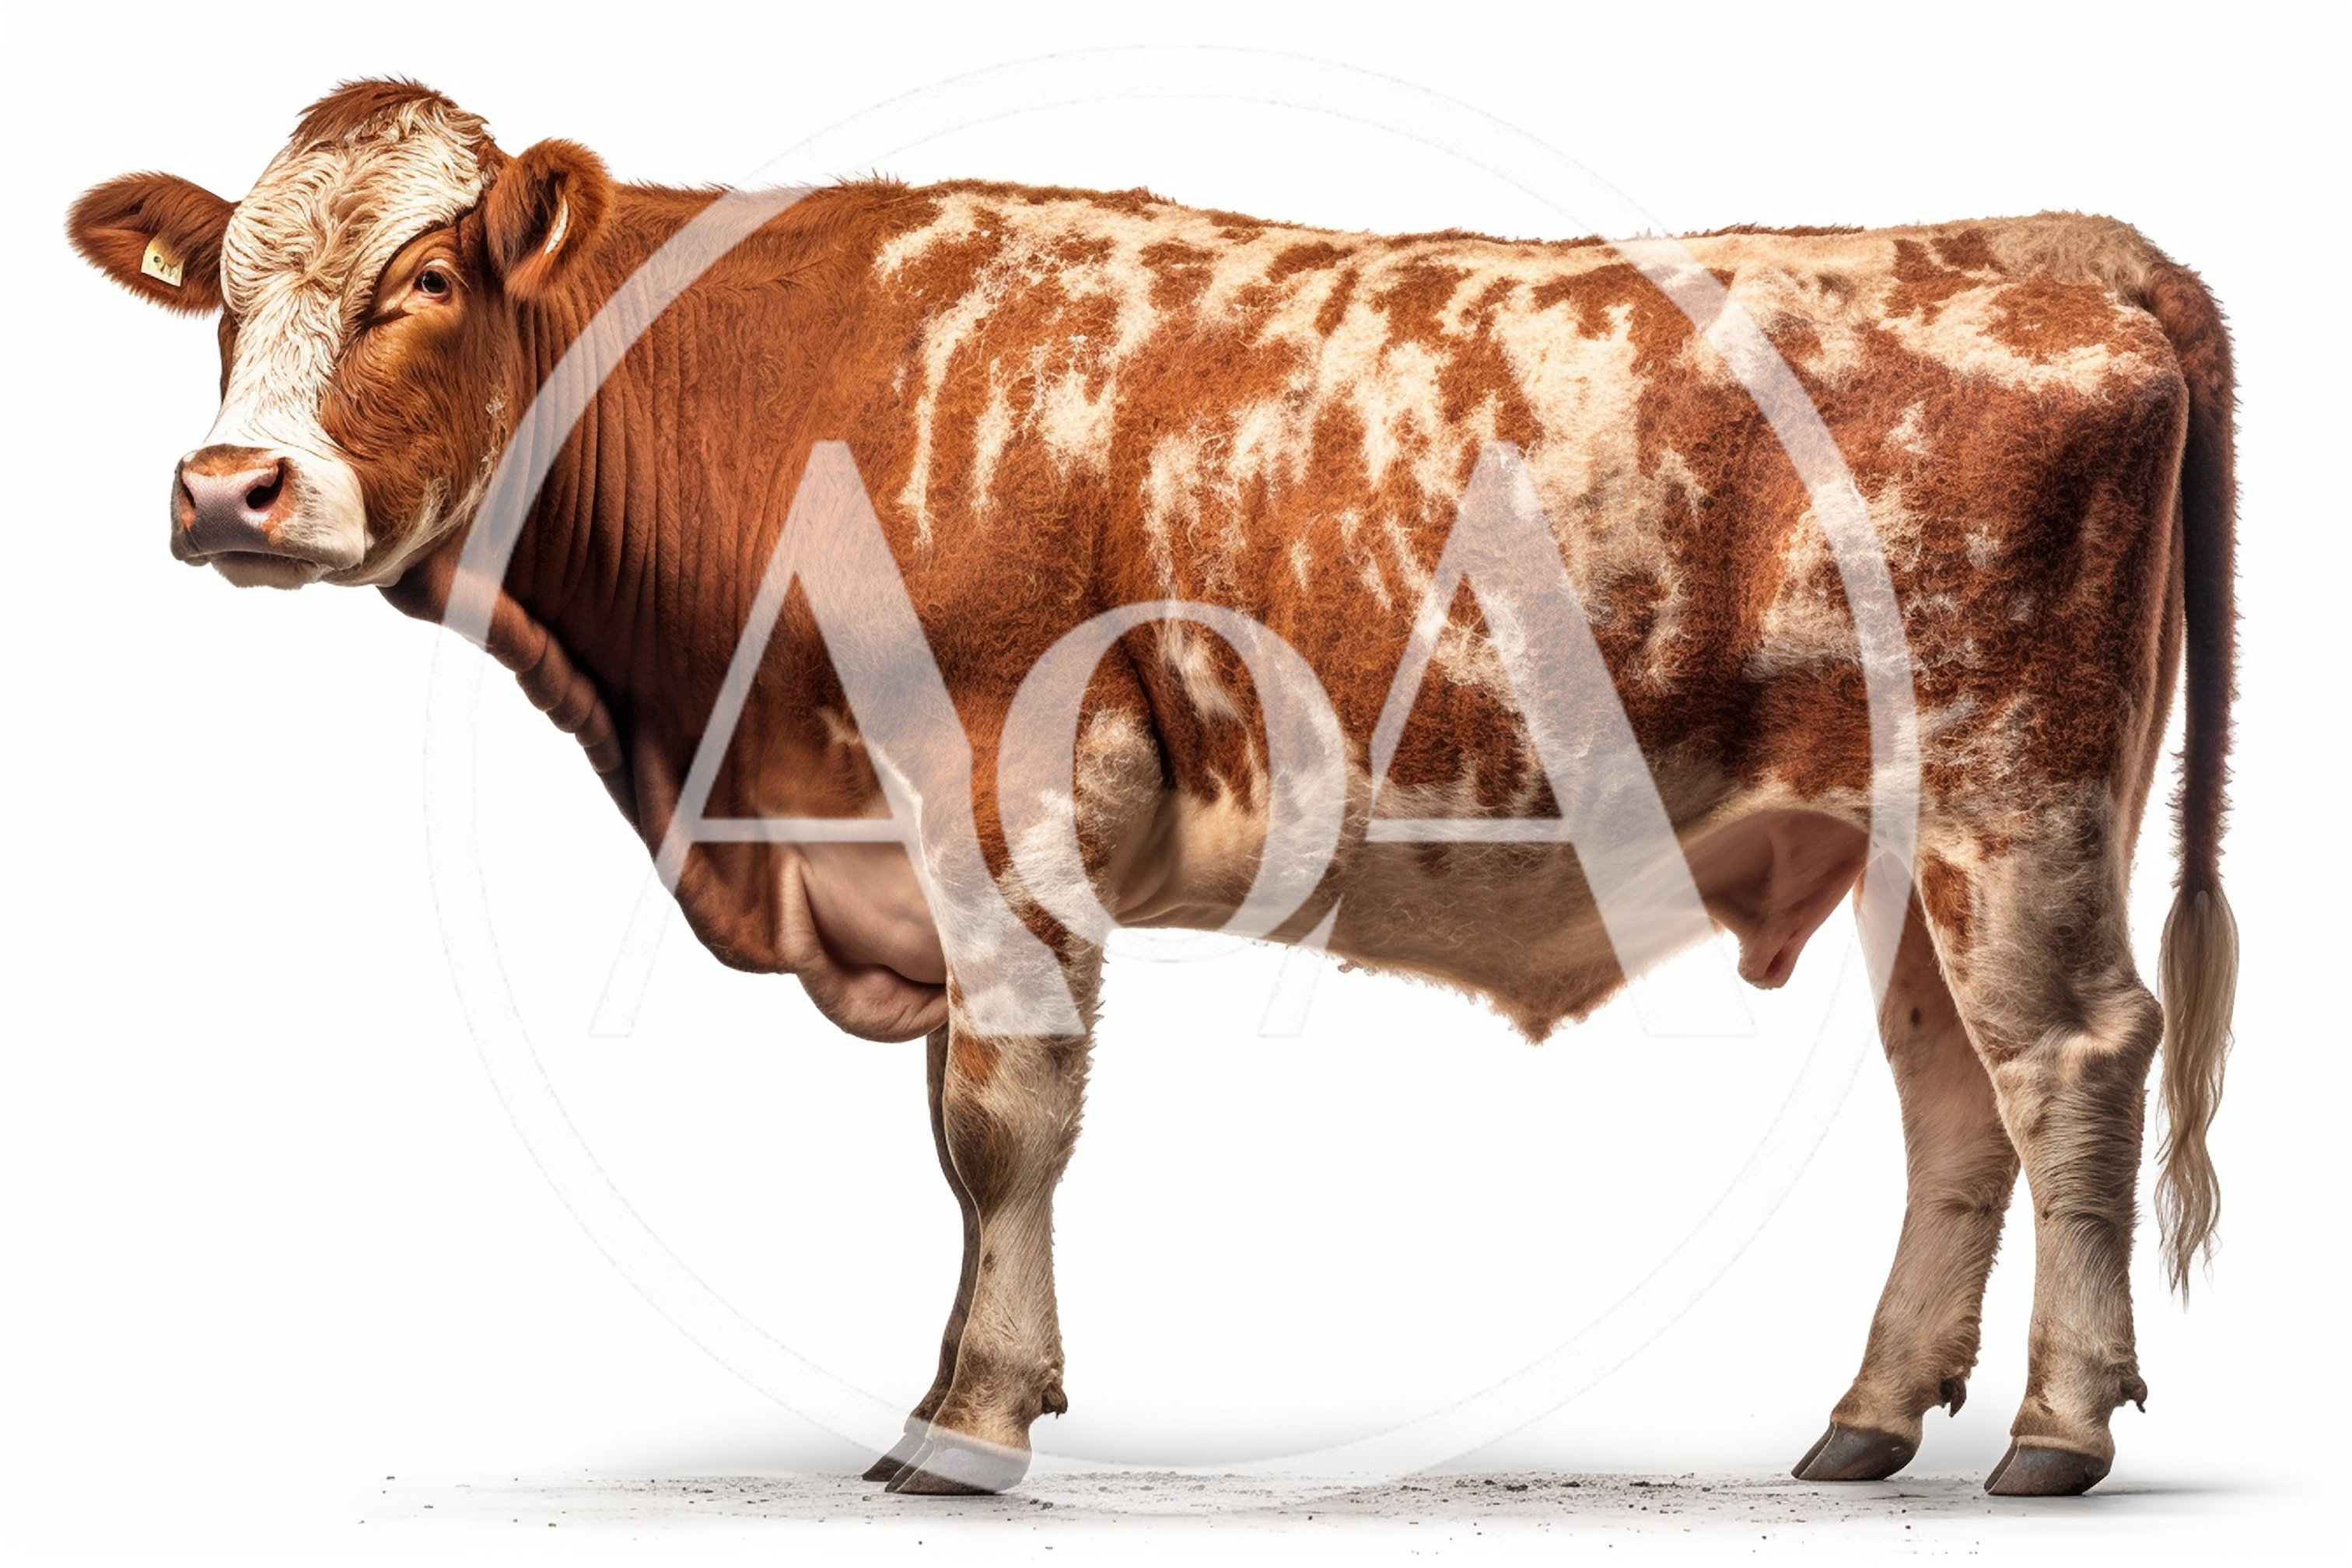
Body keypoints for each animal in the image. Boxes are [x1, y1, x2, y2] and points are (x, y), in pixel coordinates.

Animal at [68, 79, 2237, 1500]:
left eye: (423, 281)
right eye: (222, 292)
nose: (230, 491)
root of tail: (2060, 252)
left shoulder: (999, 792)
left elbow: (999, 1121)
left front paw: (963, 1425)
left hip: (2013, 795)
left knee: (2068, 1055)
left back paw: (2055, 1430)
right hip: (1903, 840)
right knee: (1953, 1089)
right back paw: (1869, 1421)